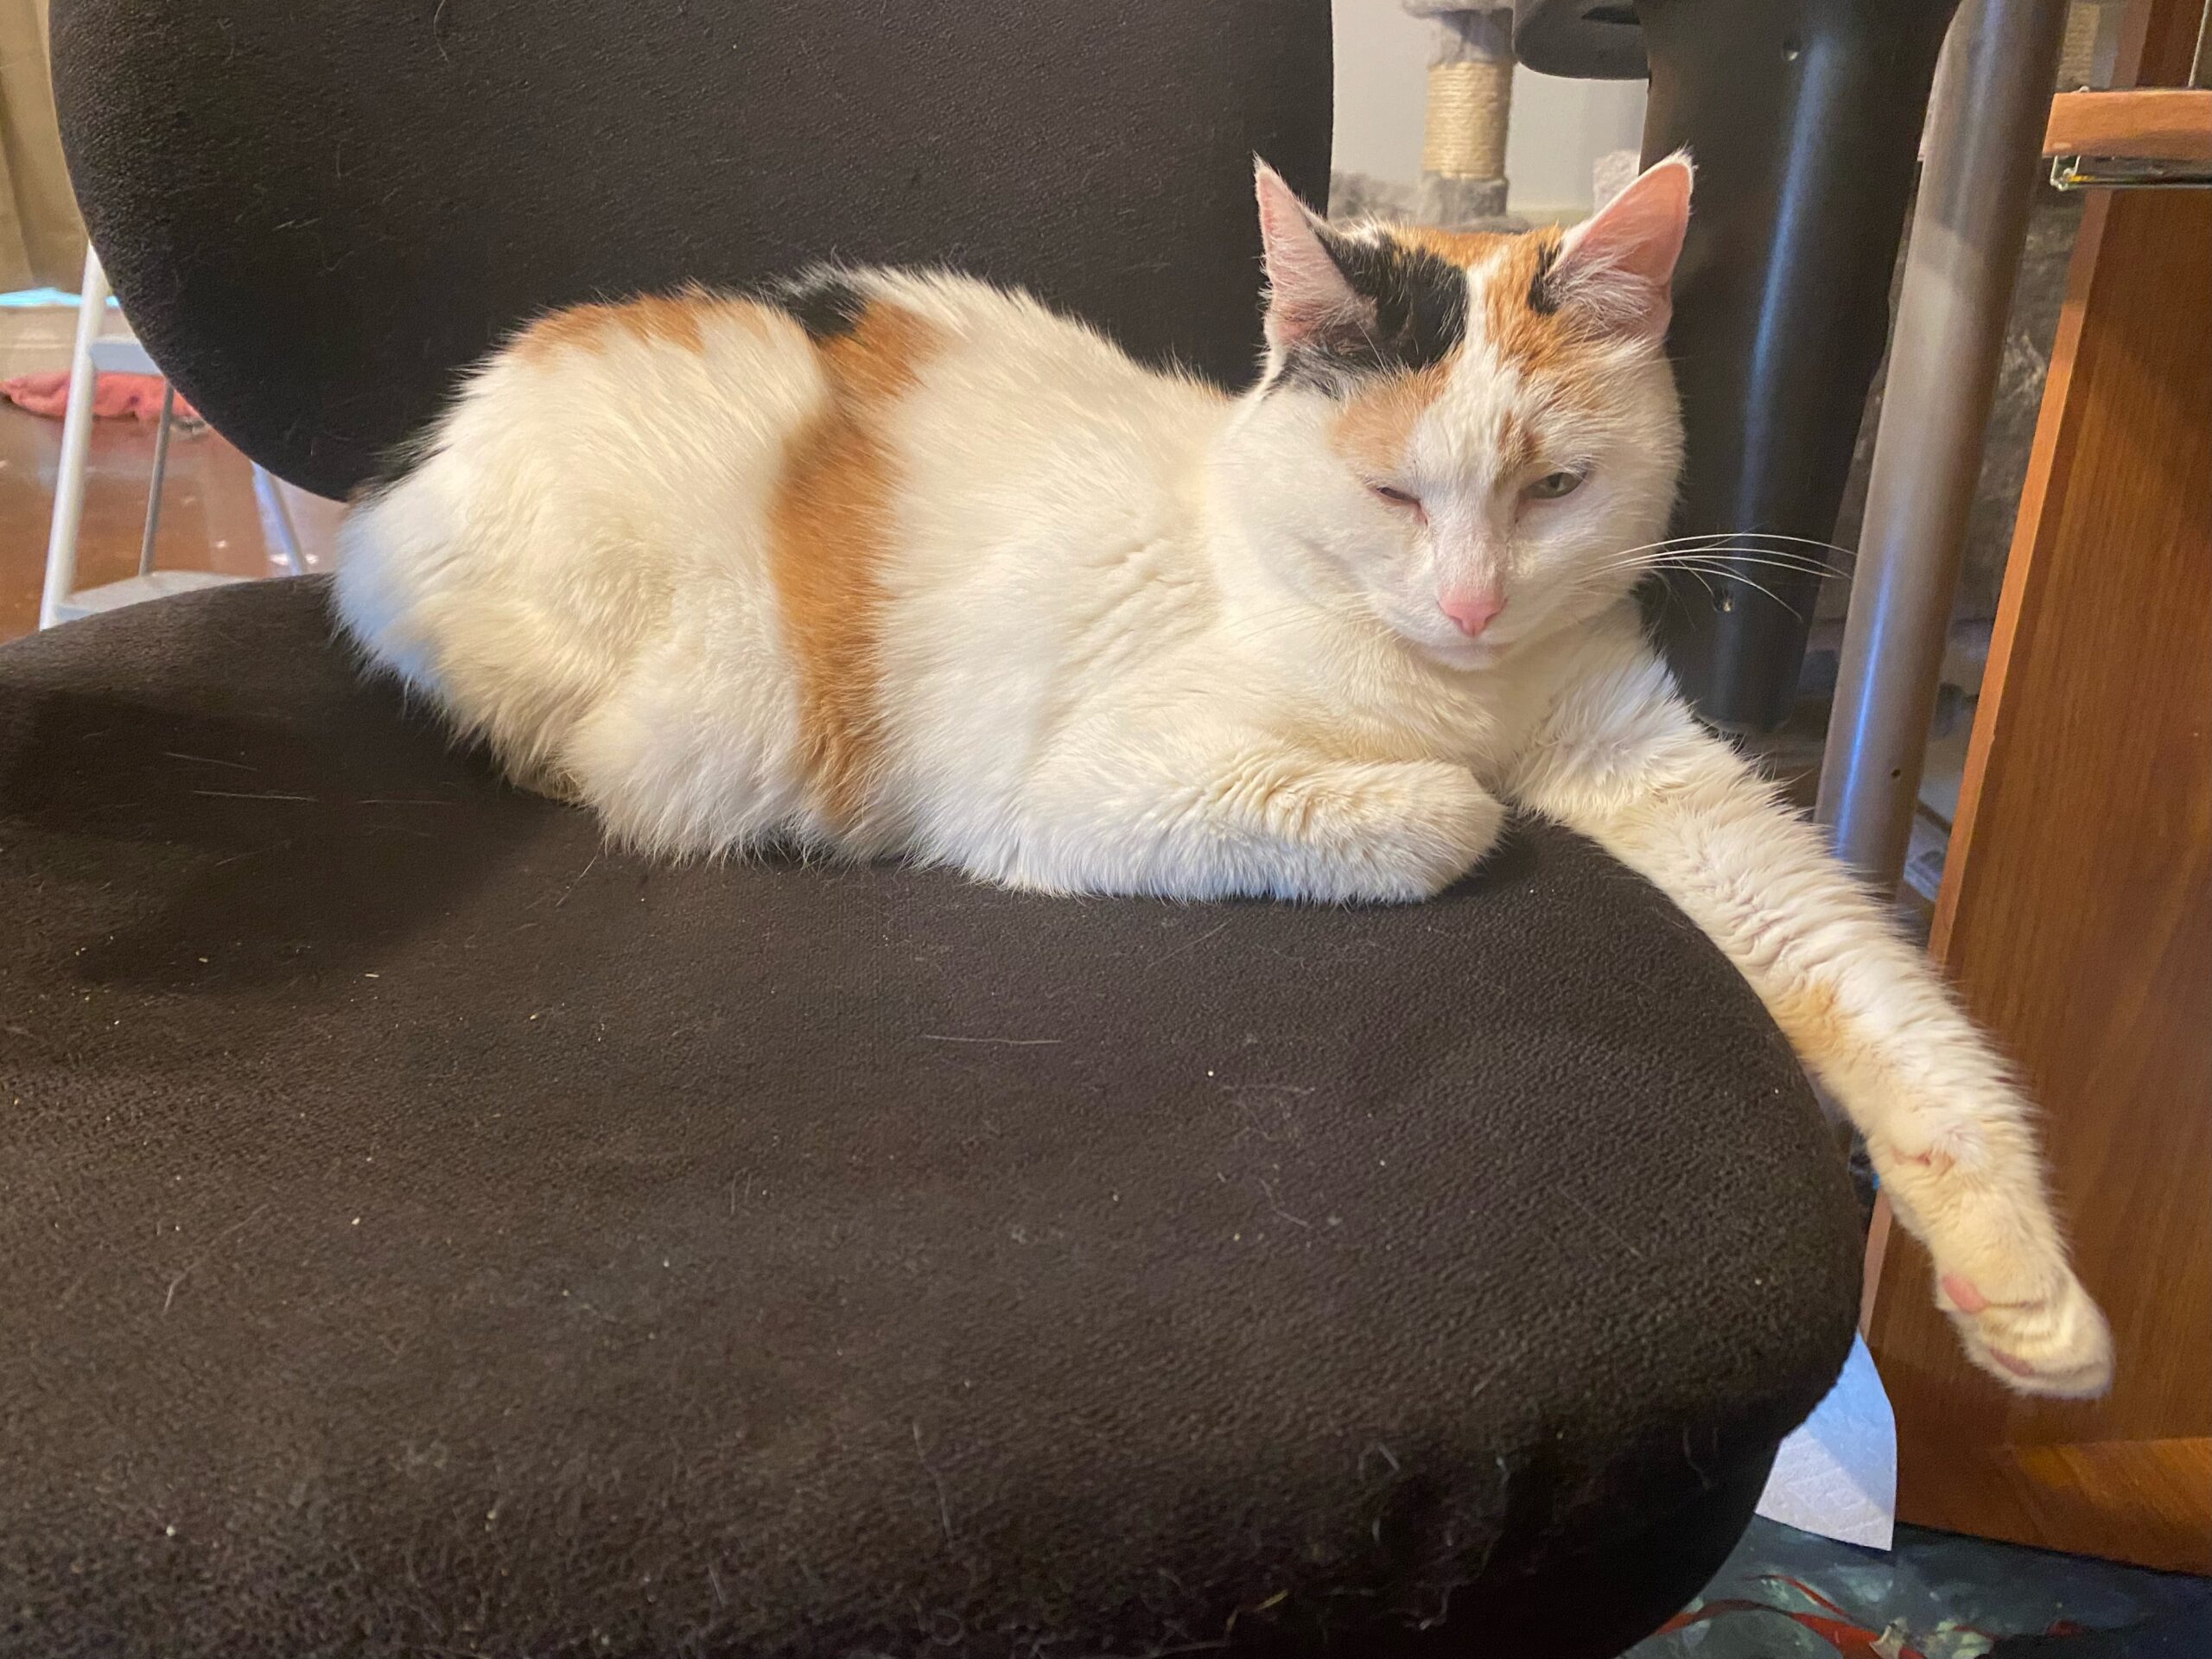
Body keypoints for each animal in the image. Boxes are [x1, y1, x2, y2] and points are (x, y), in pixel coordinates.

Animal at [340, 159, 2106, 1407]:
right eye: (1396, 496)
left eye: (1553, 489)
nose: (1472, 603)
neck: (1449, 685)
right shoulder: (1073, 794)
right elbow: (1439, 814)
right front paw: (1451, 798)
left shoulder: (1646, 766)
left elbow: (1854, 977)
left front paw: (2026, 1291)